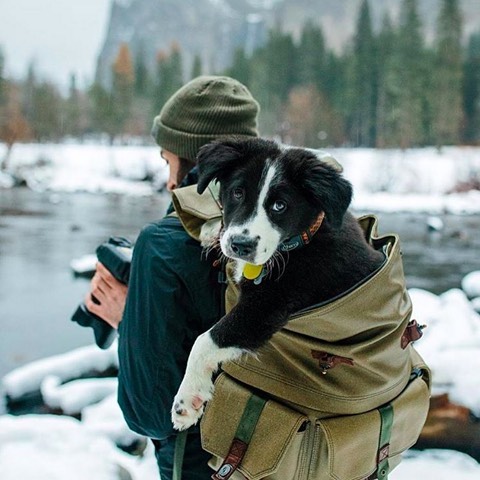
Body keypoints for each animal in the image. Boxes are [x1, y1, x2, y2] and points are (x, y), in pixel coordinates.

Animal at [171, 137, 384, 430]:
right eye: (238, 193)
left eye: (280, 205)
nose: (241, 245)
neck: (302, 240)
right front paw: (211, 231)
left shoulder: (267, 306)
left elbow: (205, 341)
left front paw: (187, 400)